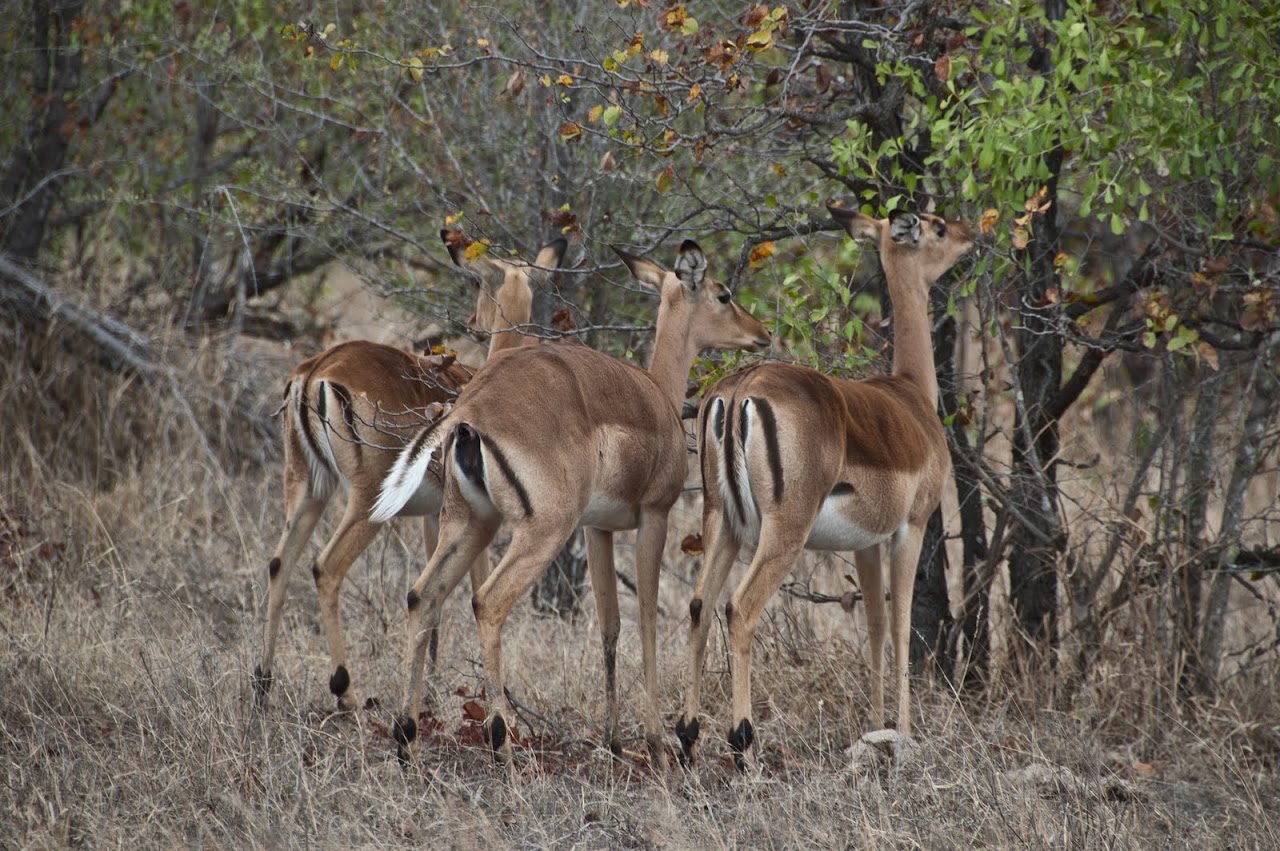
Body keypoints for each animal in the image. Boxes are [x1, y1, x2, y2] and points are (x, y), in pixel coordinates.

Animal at [253, 231, 567, 712]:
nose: (474, 323)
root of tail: (317, 371)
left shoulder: (434, 517)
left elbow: (431, 601)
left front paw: (431, 687)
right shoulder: (476, 519)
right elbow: (466, 590)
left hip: (308, 486)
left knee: (279, 562)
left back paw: (262, 684)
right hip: (365, 503)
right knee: (325, 567)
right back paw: (346, 692)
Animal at [370, 239, 771, 769]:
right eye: (723, 294)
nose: (762, 334)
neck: (657, 395)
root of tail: (467, 414)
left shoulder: (597, 528)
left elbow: (610, 626)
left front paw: (615, 741)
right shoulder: (654, 517)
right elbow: (647, 619)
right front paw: (657, 746)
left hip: (470, 522)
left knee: (422, 595)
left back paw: (406, 739)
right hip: (541, 530)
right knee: (487, 602)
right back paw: (501, 746)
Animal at [675, 203, 975, 769]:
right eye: (936, 227)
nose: (971, 235)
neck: (911, 396)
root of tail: (739, 391)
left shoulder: (865, 543)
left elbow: (875, 625)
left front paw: (877, 728)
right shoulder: (910, 528)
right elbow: (902, 625)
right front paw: (905, 733)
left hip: (722, 522)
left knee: (700, 605)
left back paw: (686, 737)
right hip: (784, 531)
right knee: (739, 608)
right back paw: (743, 745)